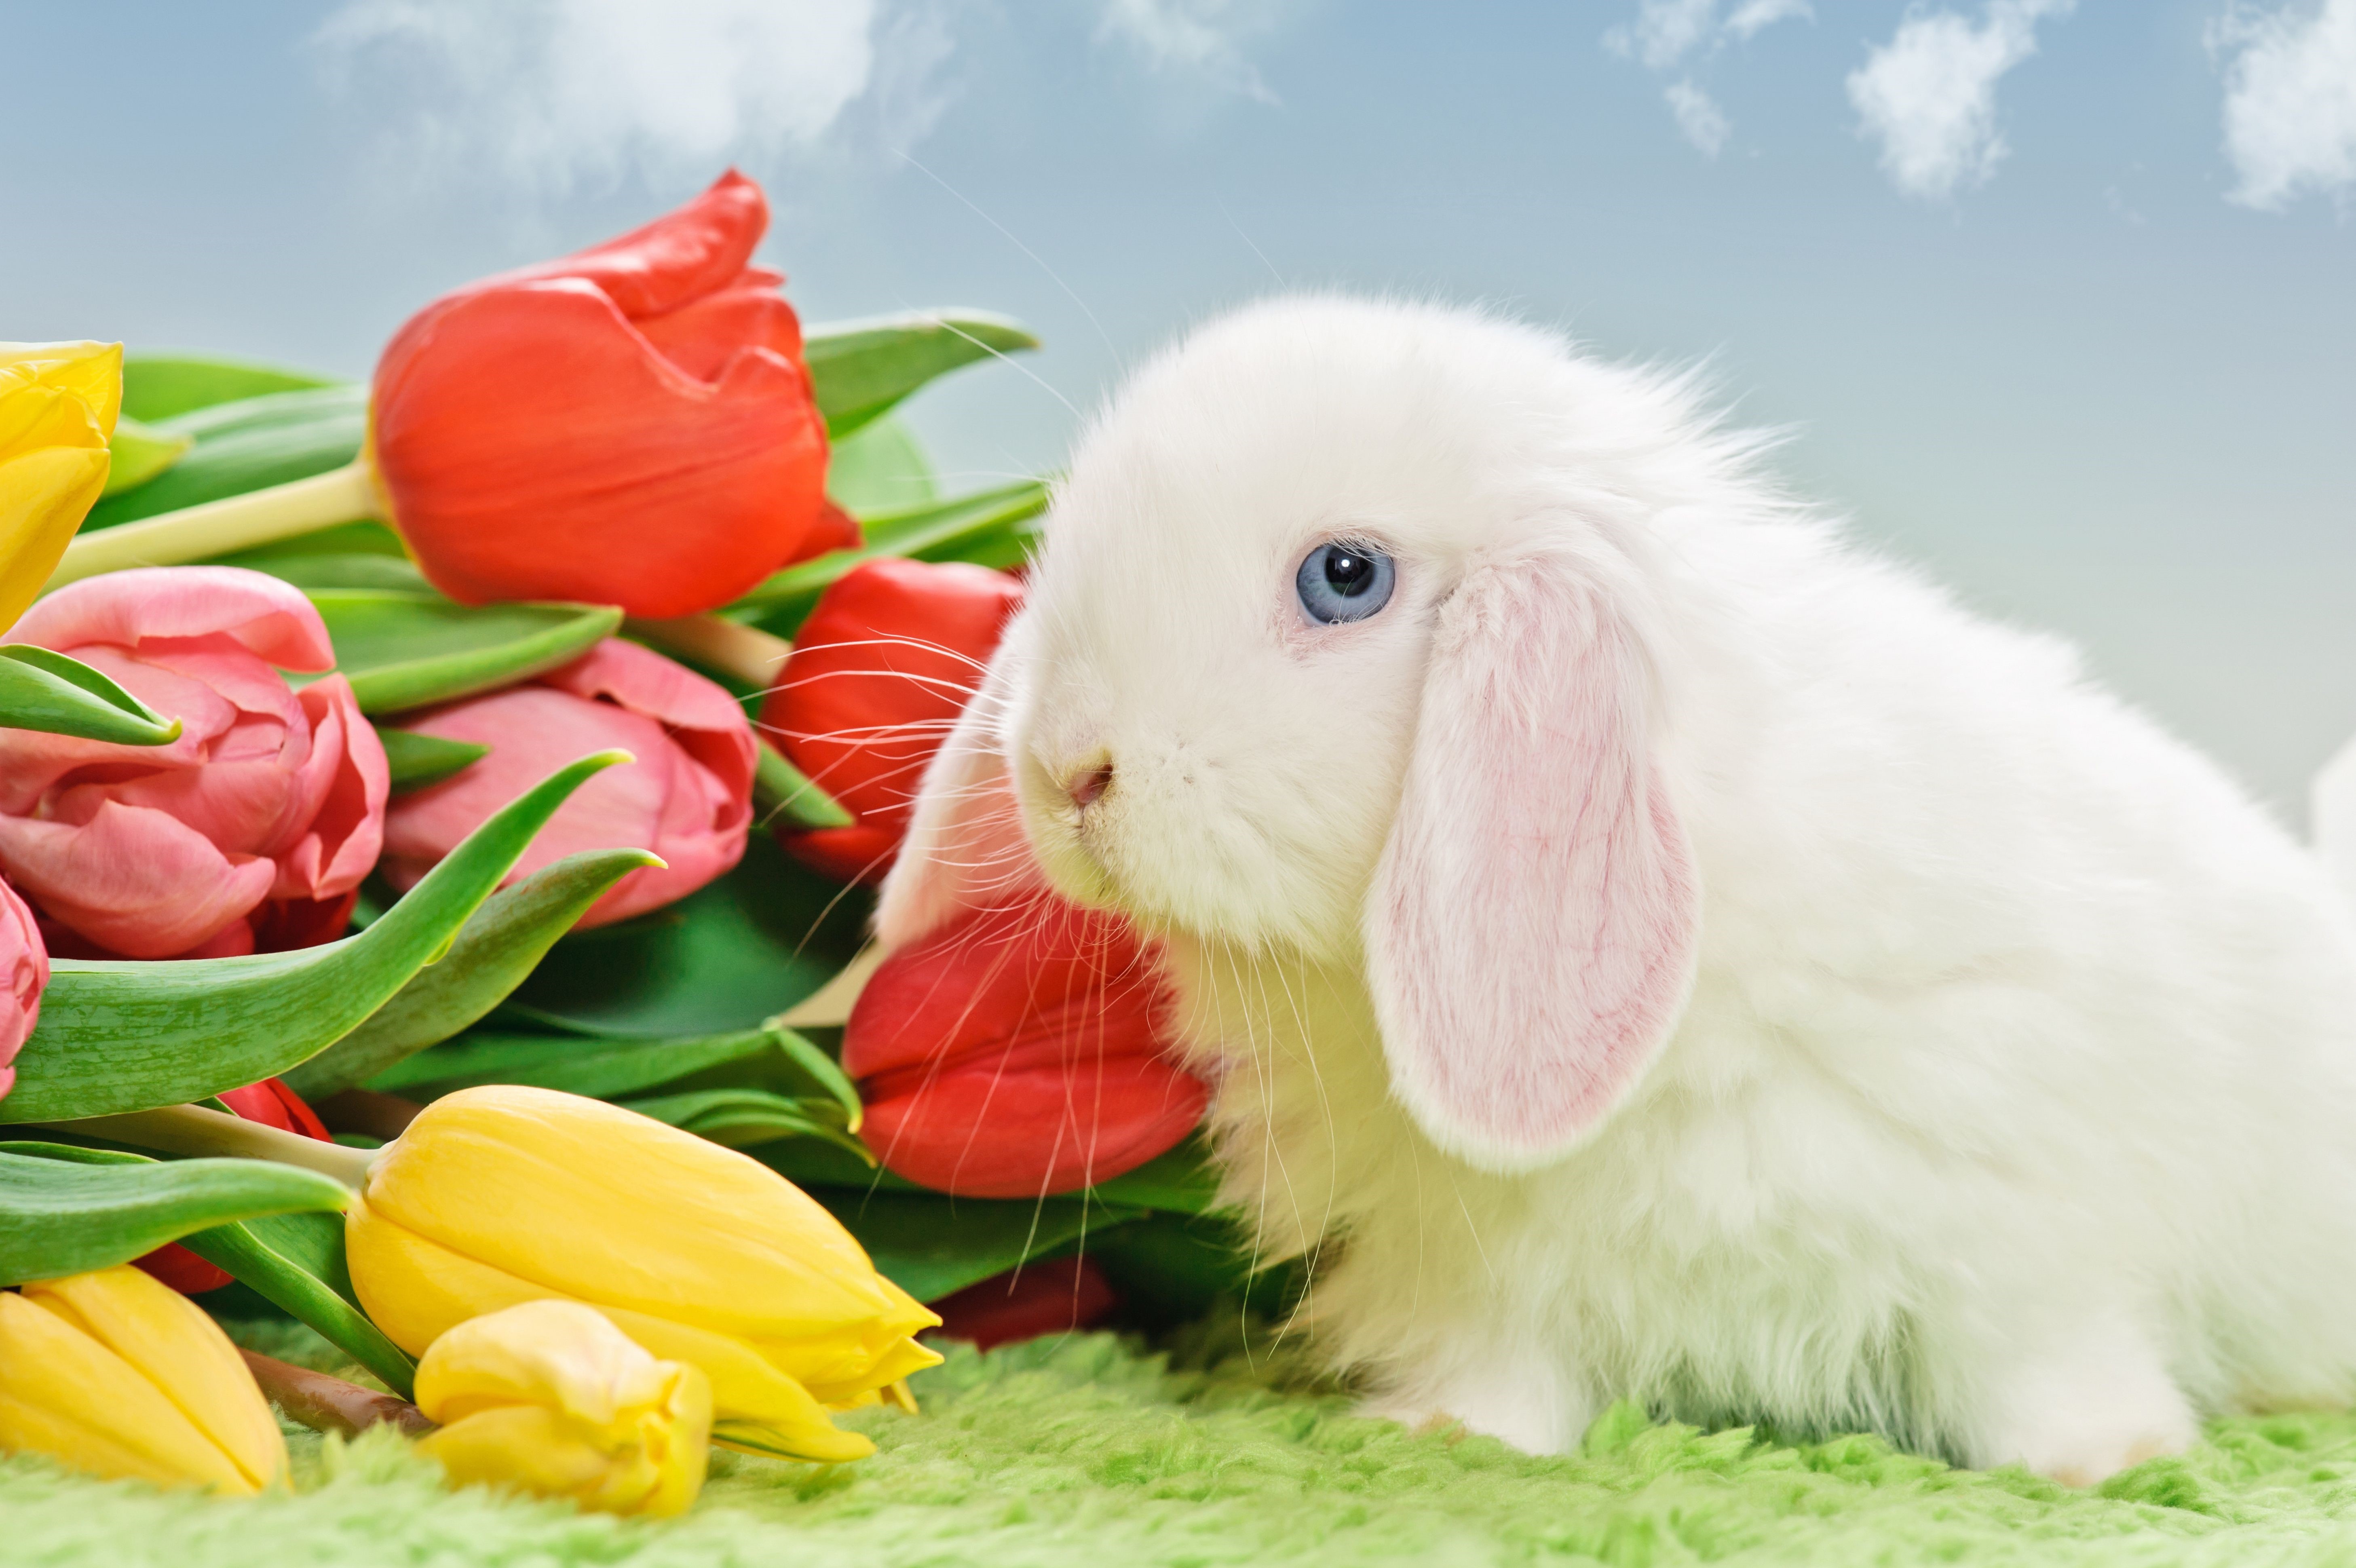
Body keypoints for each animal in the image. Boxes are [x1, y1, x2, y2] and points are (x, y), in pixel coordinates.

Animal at [872, 294, 2356, 1485]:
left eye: (1344, 577)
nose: (1065, 767)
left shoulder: (2024, 1232)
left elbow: (2041, 1361)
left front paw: (2103, 1462)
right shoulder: (1476, 1264)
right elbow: (1503, 1367)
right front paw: (1443, 1435)